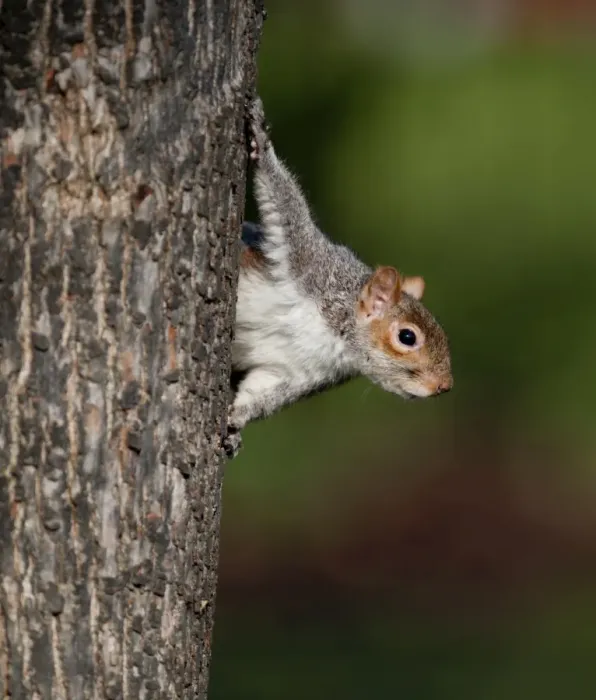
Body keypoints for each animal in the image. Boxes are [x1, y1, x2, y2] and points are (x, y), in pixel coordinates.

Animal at [223, 97, 452, 458]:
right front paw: (261, 135)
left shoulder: (293, 373)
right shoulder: (311, 264)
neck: (336, 338)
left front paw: (236, 422)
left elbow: (261, 392)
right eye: (407, 337)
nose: (444, 386)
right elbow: (286, 207)